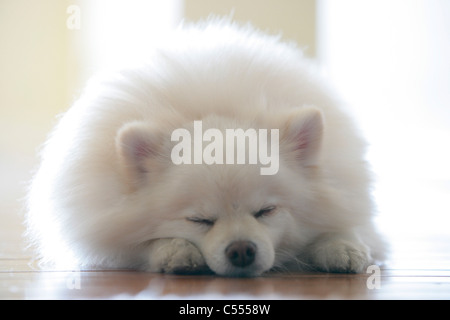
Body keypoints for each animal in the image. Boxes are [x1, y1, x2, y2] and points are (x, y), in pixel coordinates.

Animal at [26, 20, 386, 276]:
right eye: (199, 220)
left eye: (266, 211)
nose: (241, 250)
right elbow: (143, 243)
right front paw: (176, 251)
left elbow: (343, 226)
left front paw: (342, 246)